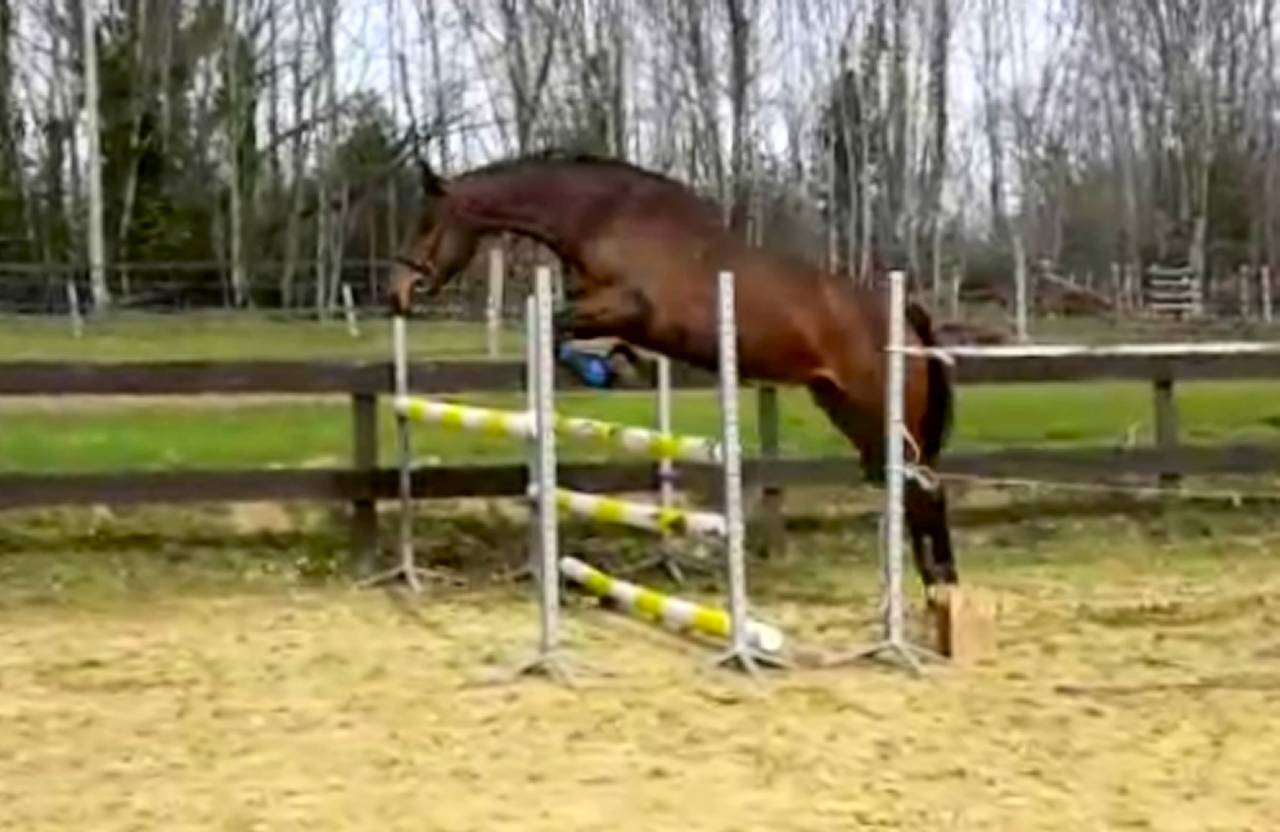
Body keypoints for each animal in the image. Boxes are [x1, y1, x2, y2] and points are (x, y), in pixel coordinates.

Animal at [388, 151, 959, 598]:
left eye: (427, 224)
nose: (398, 294)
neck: (601, 217)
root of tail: (906, 315)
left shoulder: (627, 306)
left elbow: (559, 327)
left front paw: (604, 369)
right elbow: (568, 330)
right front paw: (617, 365)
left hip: (881, 410)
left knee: (924, 488)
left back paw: (939, 594)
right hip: (845, 409)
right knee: (907, 485)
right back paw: (927, 590)